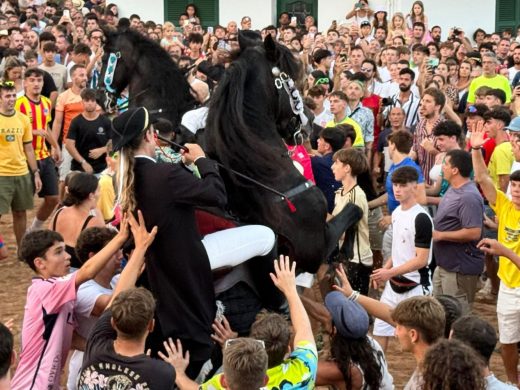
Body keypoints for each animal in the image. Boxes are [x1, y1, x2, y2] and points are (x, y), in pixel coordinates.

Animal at [100, 28, 362, 274]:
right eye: (293, 81)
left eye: (104, 58)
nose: (308, 121)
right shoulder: (314, 248)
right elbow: (355, 209)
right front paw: (348, 251)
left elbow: (354, 208)